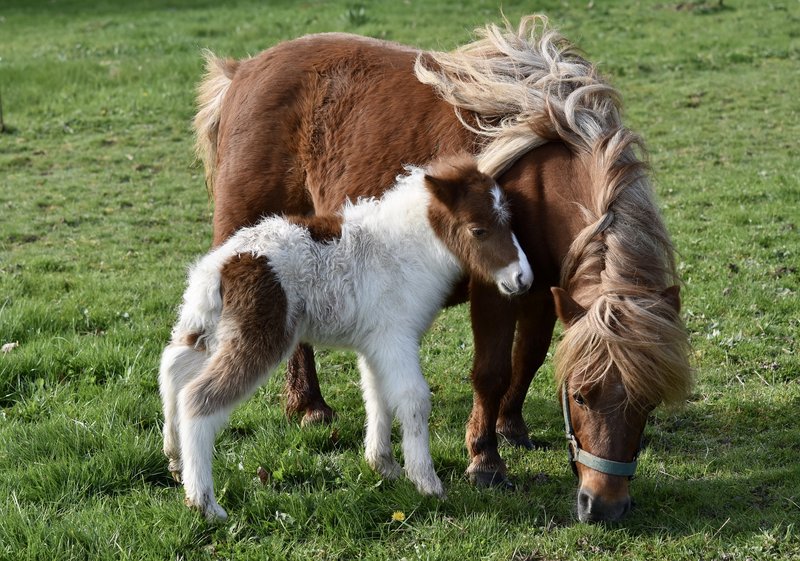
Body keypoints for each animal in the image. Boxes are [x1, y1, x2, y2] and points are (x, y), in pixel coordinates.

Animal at [159, 155, 533, 520]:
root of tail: (219, 267)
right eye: (478, 229)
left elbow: (377, 396)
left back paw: (175, 460)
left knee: (173, 368)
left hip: (204, 327)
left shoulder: (375, 345)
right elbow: (413, 399)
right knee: (198, 398)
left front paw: (384, 466)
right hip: (260, 337)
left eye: (510, 222)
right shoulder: (396, 337)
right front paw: (427, 482)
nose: (523, 278)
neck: (405, 250)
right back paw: (204, 503)